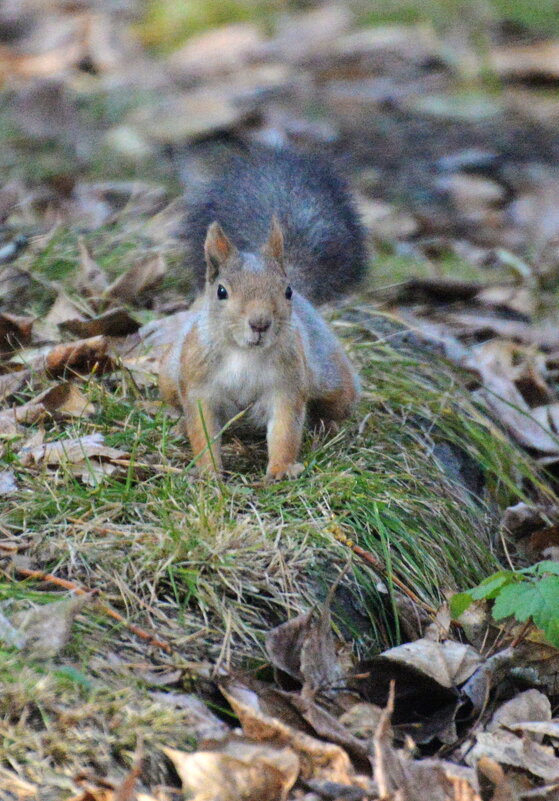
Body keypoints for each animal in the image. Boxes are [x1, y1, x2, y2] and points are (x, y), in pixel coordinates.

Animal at [160, 146, 366, 478]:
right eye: (221, 292)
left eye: (287, 291)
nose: (260, 324)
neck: (243, 353)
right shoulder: (199, 386)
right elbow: (202, 430)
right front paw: (208, 472)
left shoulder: (287, 386)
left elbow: (285, 430)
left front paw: (281, 469)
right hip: (168, 373)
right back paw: (178, 424)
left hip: (334, 381)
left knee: (334, 405)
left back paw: (328, 428)